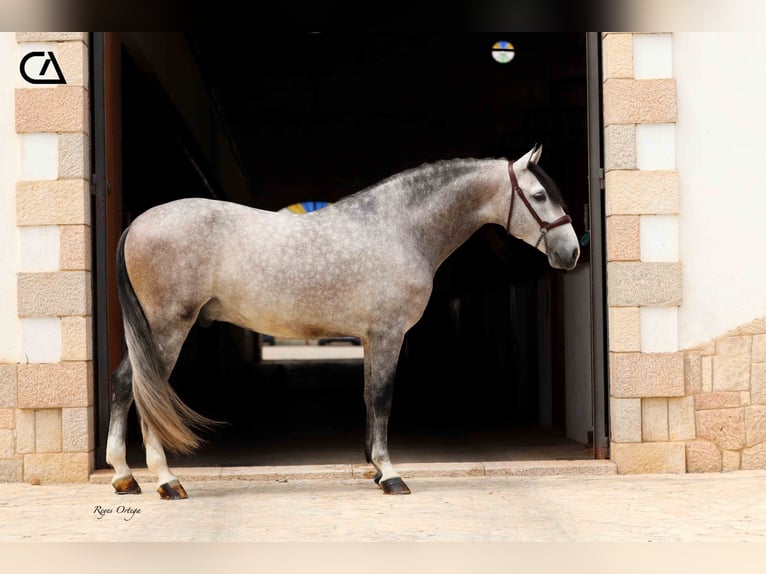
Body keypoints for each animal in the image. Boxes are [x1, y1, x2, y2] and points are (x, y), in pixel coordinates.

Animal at [105, 146, 580, 502]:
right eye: (540, 195)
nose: (572, 252)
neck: (398, 228)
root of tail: (139, 222)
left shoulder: (371, 338)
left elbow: (370, 397)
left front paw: (375, 470)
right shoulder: (388, 334)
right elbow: (383, 398)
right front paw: (391, 474)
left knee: (126, 385)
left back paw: (125, 477)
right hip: (167, 327)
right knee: (141, 388)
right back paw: (165, 480)